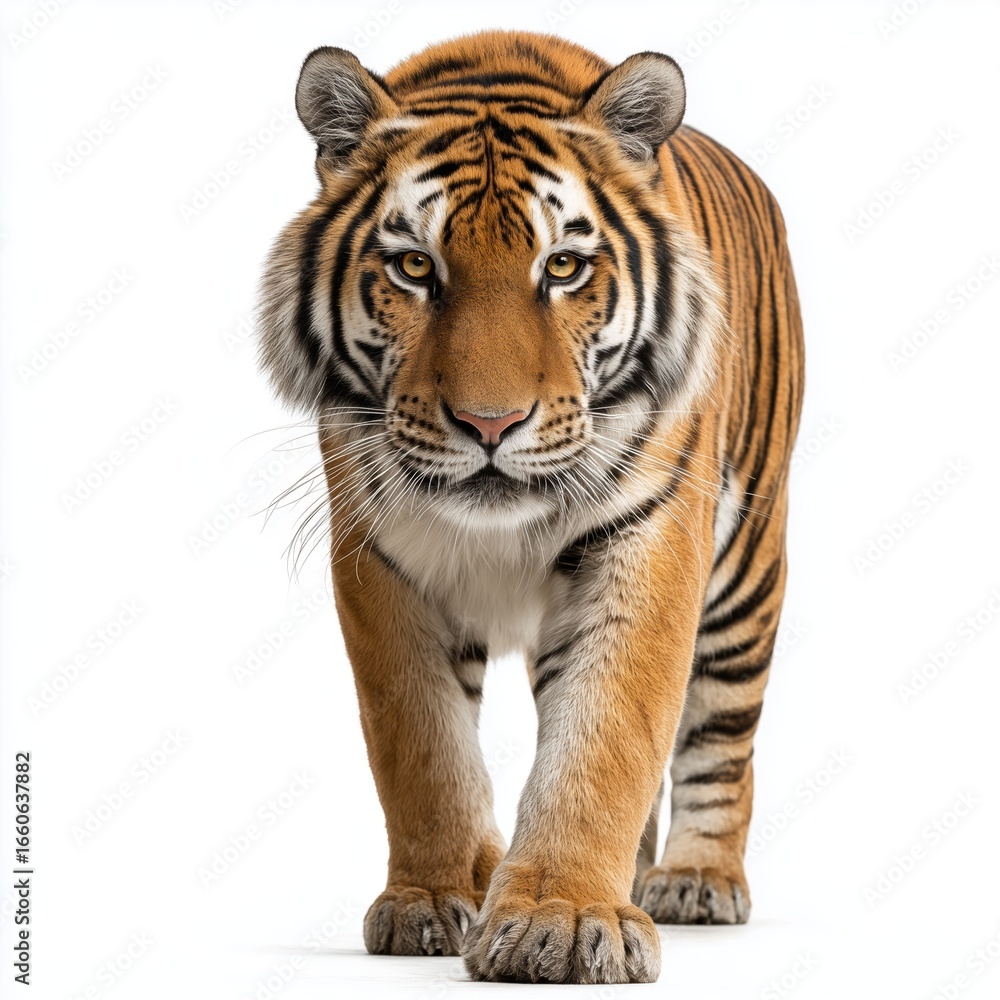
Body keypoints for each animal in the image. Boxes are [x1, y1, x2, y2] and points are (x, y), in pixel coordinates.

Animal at [257, 29, 804, 985]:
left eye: (563, 267)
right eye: (414, 266)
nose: (489, 422)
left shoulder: (650, 542)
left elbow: (607, 740)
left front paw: (565, 918)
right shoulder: (378, 557)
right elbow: (420, 745)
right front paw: (432, 900)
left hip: (746, 577)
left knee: (722, 733)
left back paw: (695, 880)